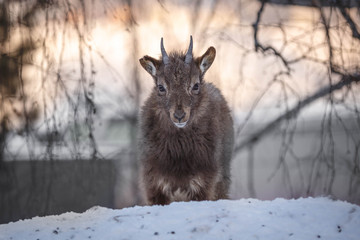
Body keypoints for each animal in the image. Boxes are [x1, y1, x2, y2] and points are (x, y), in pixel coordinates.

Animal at [138, 36, 233, 205]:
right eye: (161, 87)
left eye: (195, 85)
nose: (179, 115)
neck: (179, 151)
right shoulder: (155, 185)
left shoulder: (203, 185)